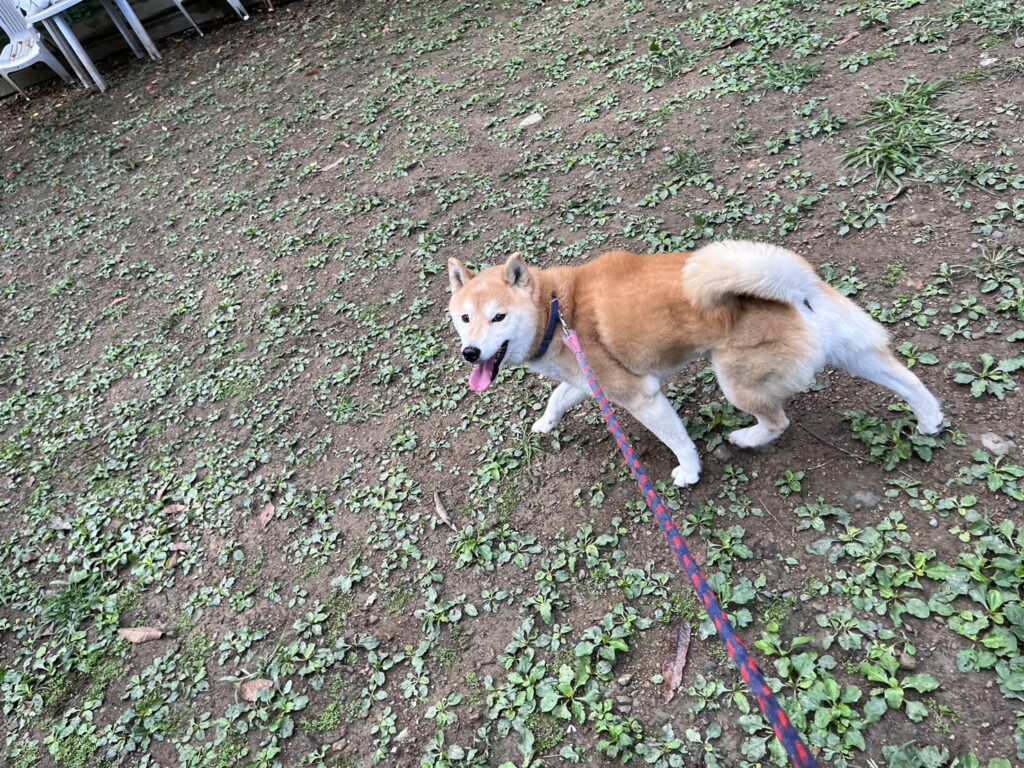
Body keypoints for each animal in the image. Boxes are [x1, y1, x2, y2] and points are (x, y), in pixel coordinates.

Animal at [446, 240, 944, 487]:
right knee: (907, 379)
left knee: (777, 421)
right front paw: (545, 424)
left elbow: (678, 440)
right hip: (852, 350)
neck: (555, 309)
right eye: (465, 319)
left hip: (734, 380)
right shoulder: (591, 380)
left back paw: (746, 437)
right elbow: (557, 396)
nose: (471, 352)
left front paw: (689, 472)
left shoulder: (639, 395)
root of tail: (792, 287)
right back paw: (930, 419)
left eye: (498, 317)